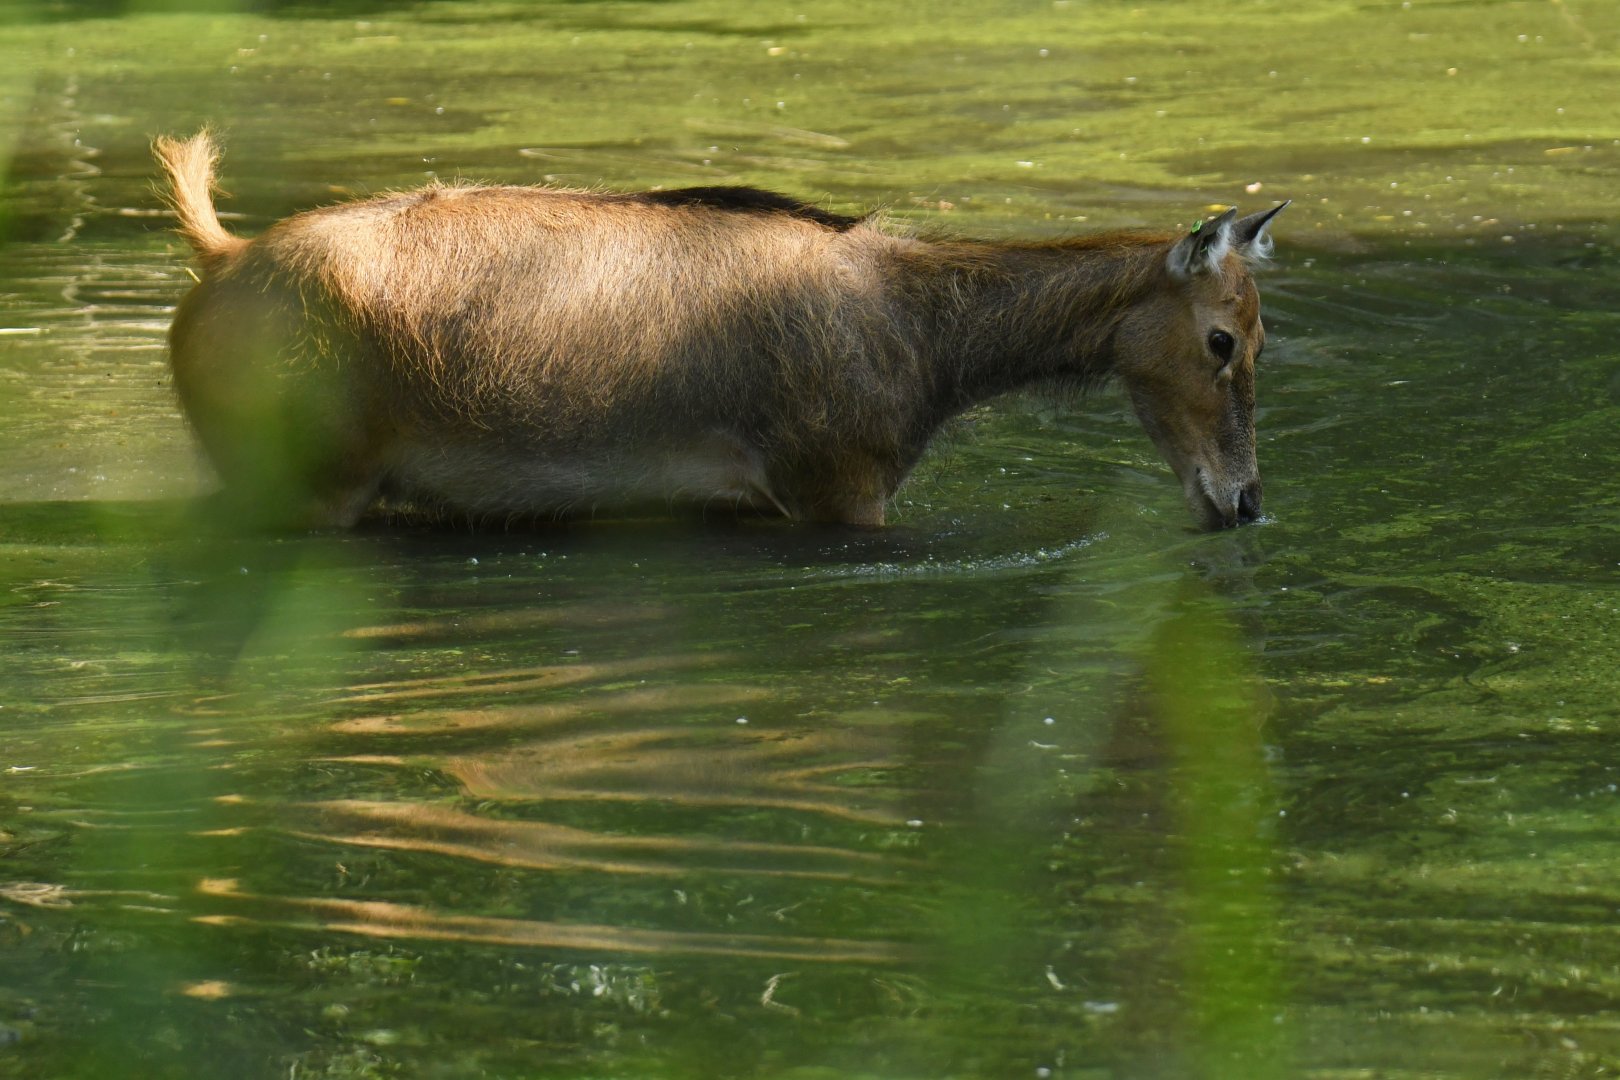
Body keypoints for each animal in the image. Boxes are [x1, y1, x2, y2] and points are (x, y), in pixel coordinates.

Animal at [153, 131, 1285, 531]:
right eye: (1223, 339)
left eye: (1263, 337)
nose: (1244, 499)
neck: (936, 359)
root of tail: (215, 258)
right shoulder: (835, 484)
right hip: (306, 478)